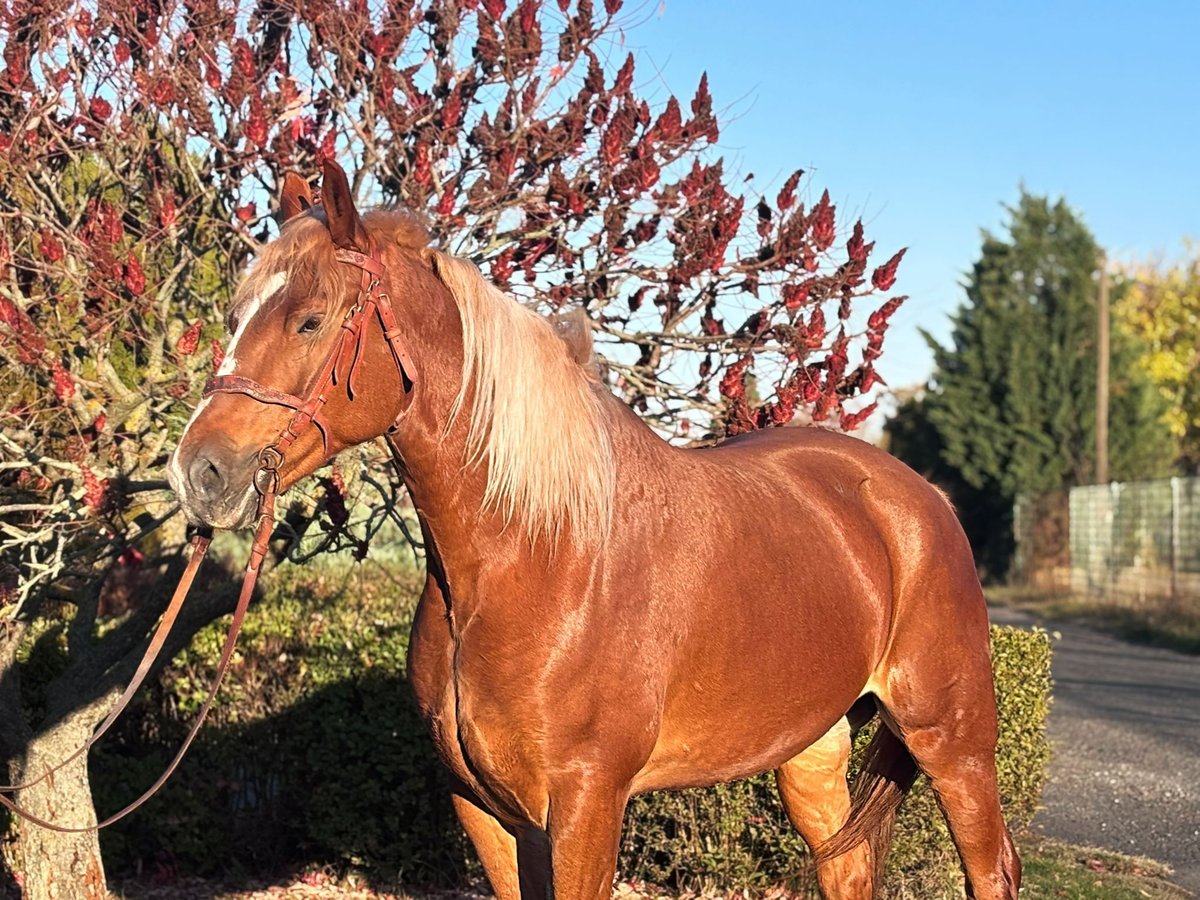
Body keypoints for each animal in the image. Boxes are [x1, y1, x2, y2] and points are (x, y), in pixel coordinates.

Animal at [167, 160, 1020, 900]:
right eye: (235, 317)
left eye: (310, 320)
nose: (198, 472)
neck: (535, 558)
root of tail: (917, 498)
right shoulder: (485, 808)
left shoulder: (586, 802)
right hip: (813, 748)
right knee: (847, 868)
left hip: (954, 741)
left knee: (992, 868)